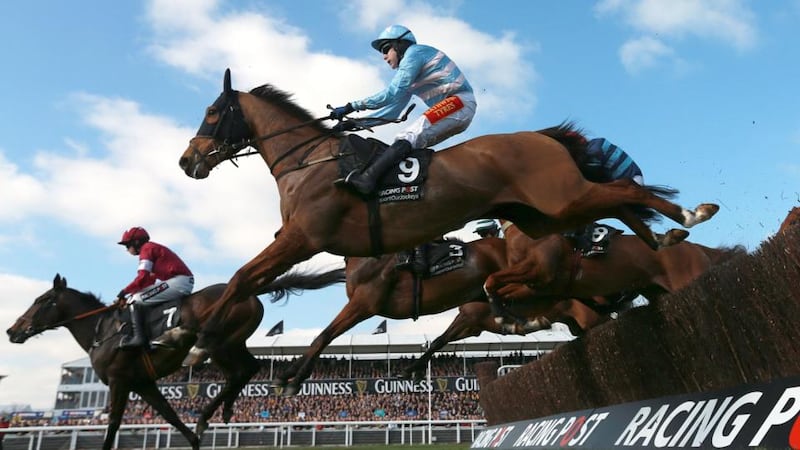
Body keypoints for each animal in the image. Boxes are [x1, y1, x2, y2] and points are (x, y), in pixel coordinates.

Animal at [6, 270, 344, 450]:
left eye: (42, 301)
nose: (12, 330)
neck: (103, 331)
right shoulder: (144, 384)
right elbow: (170, 416)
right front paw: (193, 441)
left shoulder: (119, 381)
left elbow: (113, 423)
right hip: (233, 342)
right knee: (248, 369)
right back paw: (219, 413)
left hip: (218, 342)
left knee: (239, 371)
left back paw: (210, 414)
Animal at [175, 67, 720, 366]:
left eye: (211, 112)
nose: (187, 160)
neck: (311, 163)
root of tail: (542, 136)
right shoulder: (308, 246)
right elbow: (247, 280)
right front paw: (193, 335)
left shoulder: (302, 238)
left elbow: (242, 277)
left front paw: (197, 341)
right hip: (544, 214)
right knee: (617, 199)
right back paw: (666, 237)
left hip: (559, 200)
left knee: (624, 189)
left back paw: (690, 214)